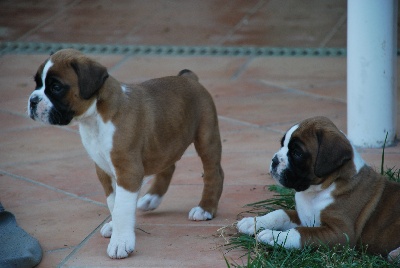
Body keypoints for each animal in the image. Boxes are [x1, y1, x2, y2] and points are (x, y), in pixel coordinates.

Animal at [27, 48, 225, 260]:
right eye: (37, 83)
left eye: (56, 87)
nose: (32, 101)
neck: (95, 118)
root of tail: (189, 78)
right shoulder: (104, 170)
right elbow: (113, 203)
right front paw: (117, 229)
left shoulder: (127, 171)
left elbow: (122, 208)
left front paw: (120, 242)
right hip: (166, 140)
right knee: (168, 165)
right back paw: (152, 198)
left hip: (206, 138)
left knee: (214, 173)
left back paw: (205, 208)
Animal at [238, 115, 400, 262]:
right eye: (282, 144)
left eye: (297, 153)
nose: (274, 160)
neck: (318, 190)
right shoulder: (304, 218)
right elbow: (280, 213)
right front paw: (254, 222)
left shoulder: (341, 234)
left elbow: (300, 233)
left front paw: (275, 236)